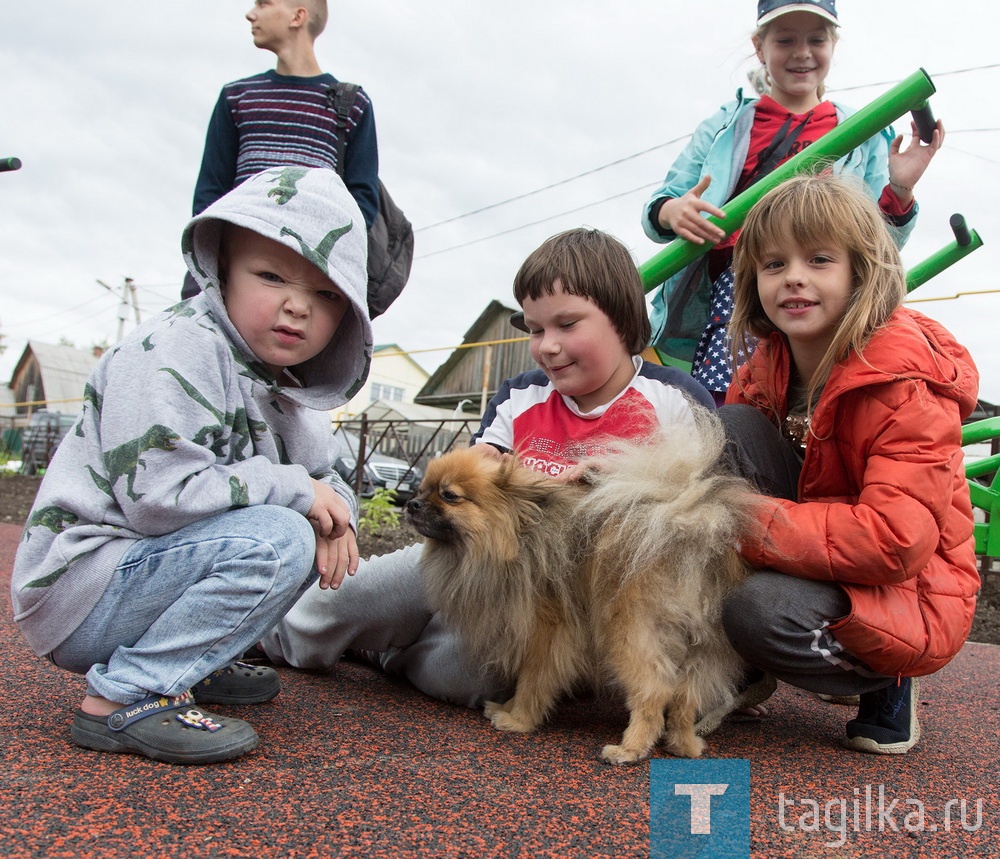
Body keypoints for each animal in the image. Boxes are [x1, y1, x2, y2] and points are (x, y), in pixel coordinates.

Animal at [402, 412, 760, 764]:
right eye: (422, 488)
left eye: (449, 495)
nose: (411, 503)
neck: (516, 536)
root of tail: (689, 529)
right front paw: (506, 708)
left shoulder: (548, 634)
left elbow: (532, 680)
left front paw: (517, 719)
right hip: (703, 643)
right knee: (686, 694)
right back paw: (684, 744)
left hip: (626, 631)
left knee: (655, 689)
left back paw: (630, 749)